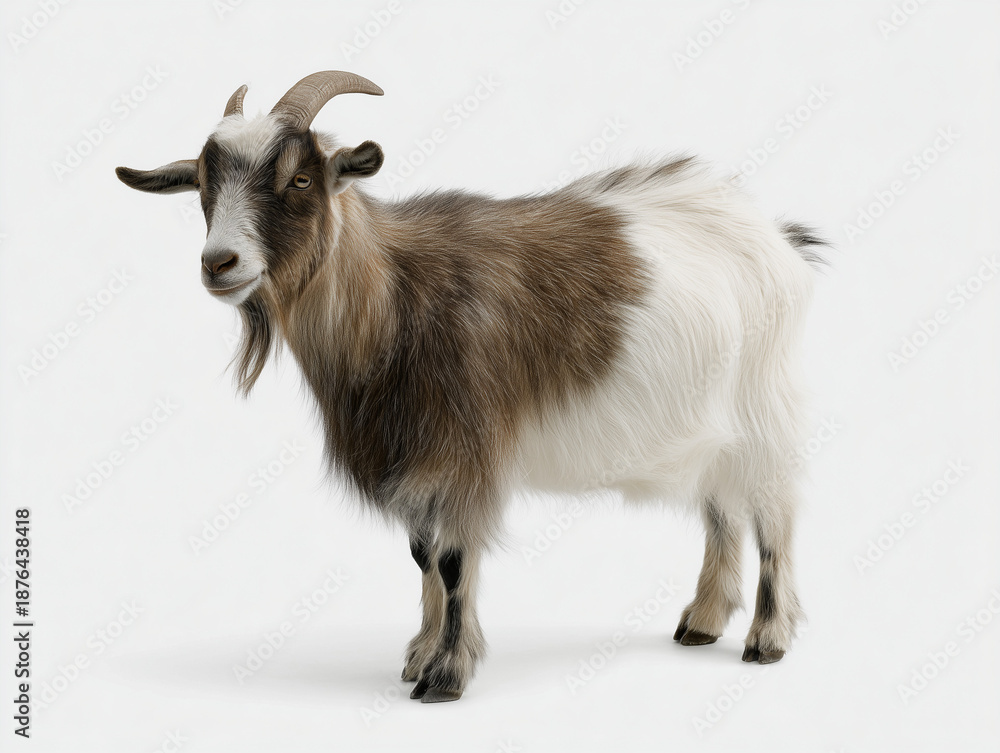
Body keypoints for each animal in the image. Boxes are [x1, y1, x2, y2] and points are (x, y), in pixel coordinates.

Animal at [116, 70, 823, 702]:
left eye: (299, 178)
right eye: (203, 185)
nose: (219, 264)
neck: (396, 298)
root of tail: (775, 237)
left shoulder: (463, 451)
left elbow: (454, 560)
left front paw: (444, 677)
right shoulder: (418, 458)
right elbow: (423, 554)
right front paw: (419, 655)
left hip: (764, 407)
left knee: (773, 515)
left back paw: (767, 639)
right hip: (709, 424)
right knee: (721, 508)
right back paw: (702, 621)